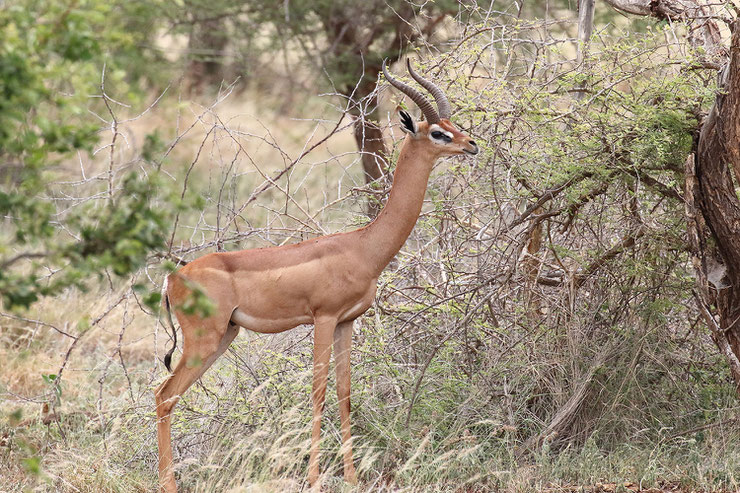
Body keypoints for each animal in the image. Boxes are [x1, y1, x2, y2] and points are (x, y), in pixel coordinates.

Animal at [156, 59, 480, 490]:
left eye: (452, 124)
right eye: (438, 132)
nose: (472, 144)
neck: (363, 247)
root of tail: (172, 279)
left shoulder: (347, 322)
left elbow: (344, 392)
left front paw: (352, 478)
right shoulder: (323, 319)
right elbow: (318, 391)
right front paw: (314, 479)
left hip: (226, 335)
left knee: (169, 396)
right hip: (203, 341)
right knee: (164, 396)